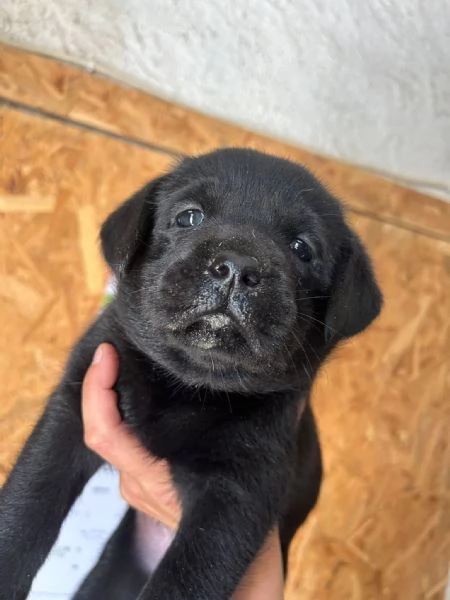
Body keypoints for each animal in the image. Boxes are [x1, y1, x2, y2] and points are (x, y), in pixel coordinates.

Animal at [0, 148, 384, 596]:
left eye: (302, 248)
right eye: (188, 217)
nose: (236, 266)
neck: (190, 383)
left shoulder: (237, 491)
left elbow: (188, 578)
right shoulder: (75, 402)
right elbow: (30, 499)